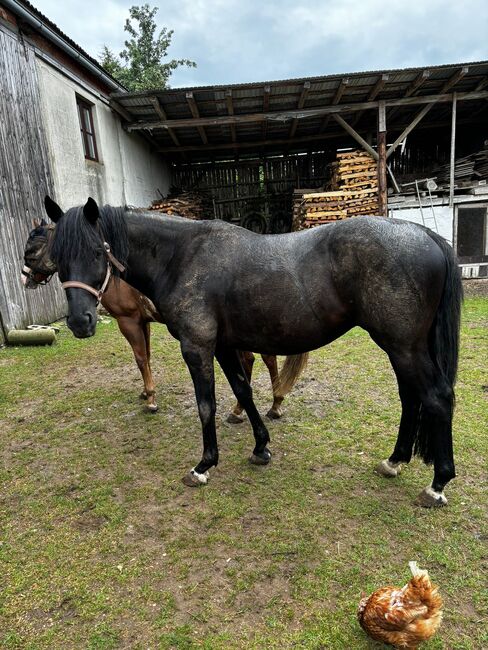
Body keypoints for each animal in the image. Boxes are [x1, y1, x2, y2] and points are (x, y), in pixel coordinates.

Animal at [23, 215, 304, 412]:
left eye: (33, 250)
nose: (26, 278)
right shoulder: (143, 321)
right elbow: (146, 355)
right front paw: (146, 392)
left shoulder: (128, 321)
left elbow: (140, 359)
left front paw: (151, 399)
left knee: (261, 359)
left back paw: (267, 404)